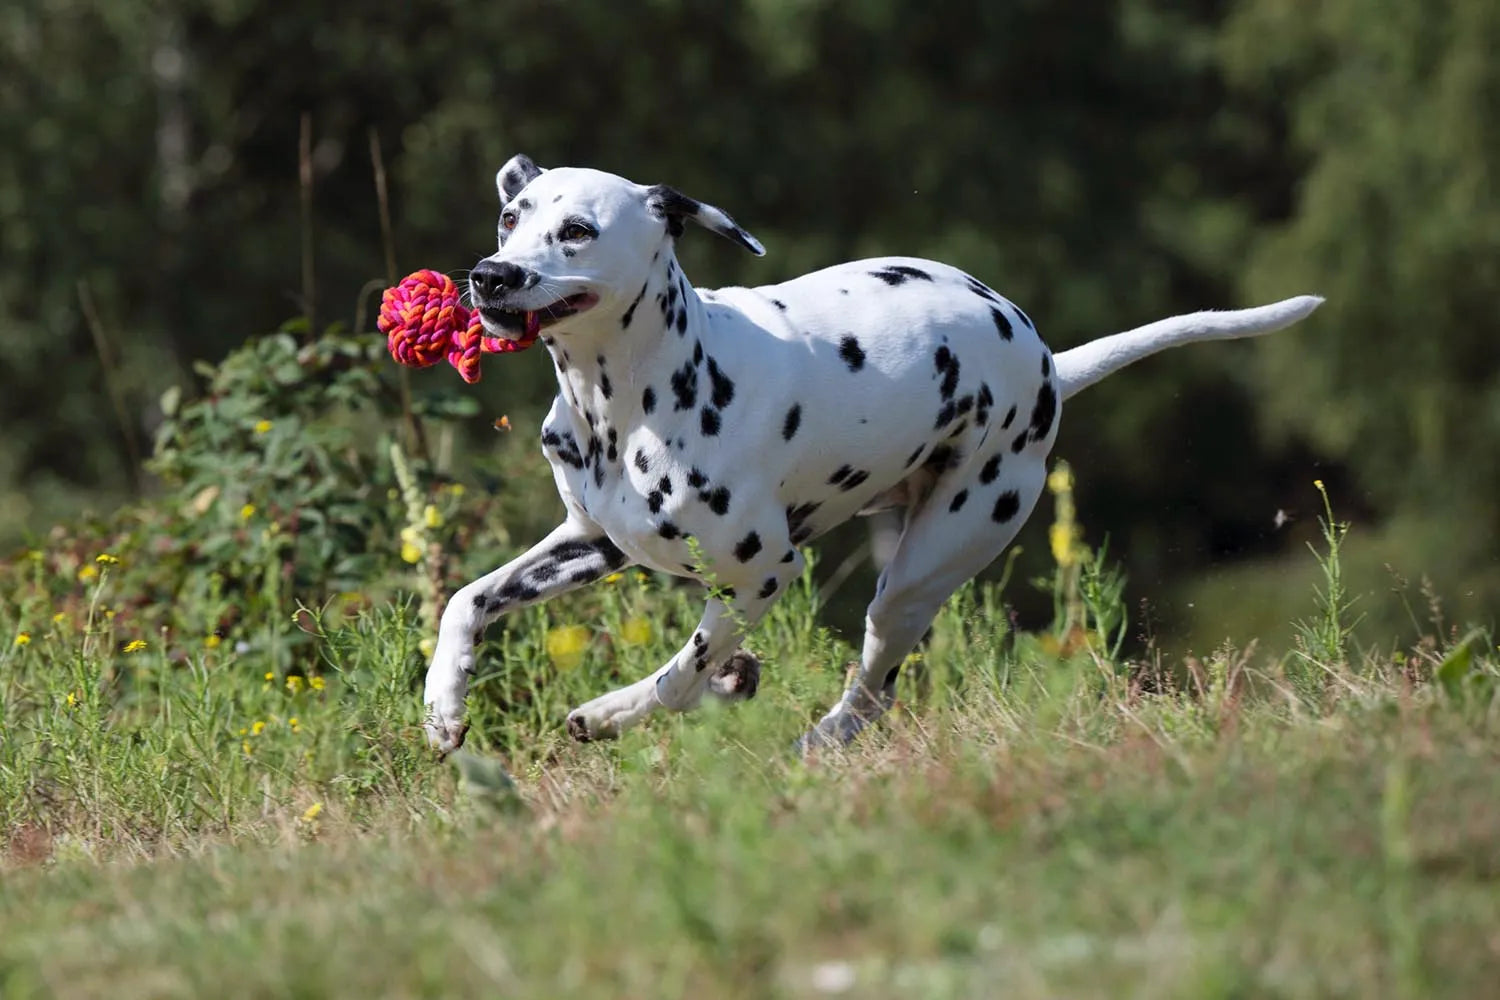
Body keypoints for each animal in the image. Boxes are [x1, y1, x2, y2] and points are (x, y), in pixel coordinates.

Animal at [417, 154, 1320, 749]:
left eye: (577, 230)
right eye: (512, 216)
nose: (490, 274)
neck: (627, 402)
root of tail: (1048, 364)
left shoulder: (765, 574)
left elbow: (678, 675)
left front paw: (611, 713)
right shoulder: (590, 545)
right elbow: (466, 599)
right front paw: (443, 705)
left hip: (914, 581)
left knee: (872, 692)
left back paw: (814, 743)